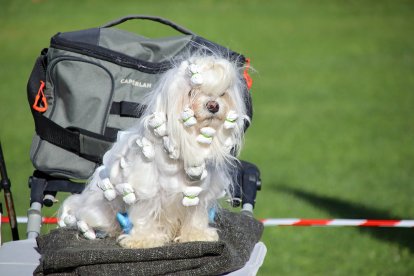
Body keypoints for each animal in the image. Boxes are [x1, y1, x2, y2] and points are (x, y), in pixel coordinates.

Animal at [58, 53, 249, 248]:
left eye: (222, 94)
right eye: (190, 92)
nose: (213, 105)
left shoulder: (200, 193)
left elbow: (197, 214)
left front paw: (197, 235)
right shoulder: (144, 187)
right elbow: (144, 213)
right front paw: (143, 239)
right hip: (100, 209)